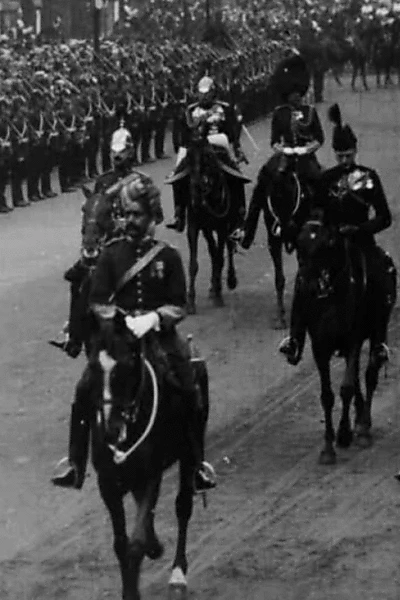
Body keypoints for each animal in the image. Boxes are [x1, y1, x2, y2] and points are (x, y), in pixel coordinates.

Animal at [85, 316, 209, 596]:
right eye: (93, 366)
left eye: (128, 365)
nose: (110, 429)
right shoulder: (108, 484)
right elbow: (121, 544)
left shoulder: (151, 476)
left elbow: (136, 543)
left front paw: (132, 591)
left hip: (188, 454)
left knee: (183, 507)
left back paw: (177, 572)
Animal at [296, 218, 396, 466]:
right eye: (299, 245)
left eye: (327, 244)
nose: (307, 284)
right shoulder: (319, 347)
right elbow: (327, 396)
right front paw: (328, 446)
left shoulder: (353, 340)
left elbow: (347, 387)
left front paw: (344, 434)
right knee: (360, 378)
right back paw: (358, 421)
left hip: (378, 330)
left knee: (370, 375)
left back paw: (363, 427)